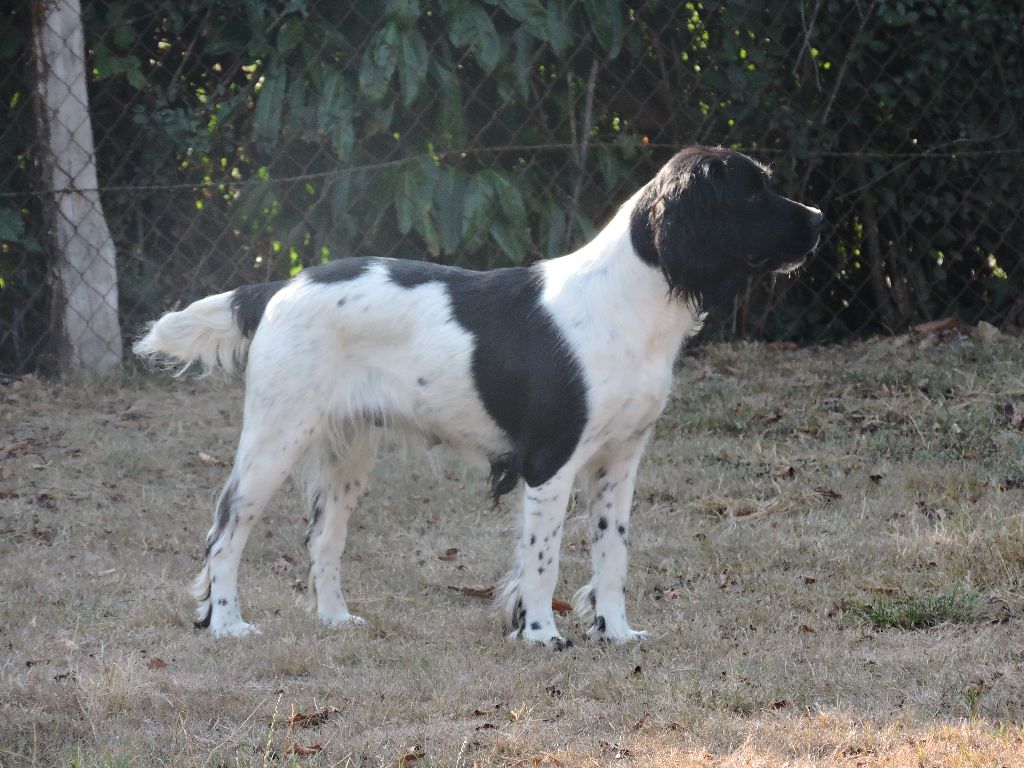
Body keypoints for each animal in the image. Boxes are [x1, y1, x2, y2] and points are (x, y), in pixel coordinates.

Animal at [136, 145, 823, 651]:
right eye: (752, 192)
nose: (819, 218)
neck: (628, 301)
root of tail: (278, 286)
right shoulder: (550, 461)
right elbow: (543, 559)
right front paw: (541, 634)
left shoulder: (621, 460)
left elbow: (612, 555)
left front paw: (616, 633)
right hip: (276, 438)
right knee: (226, 531)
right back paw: (226, 623)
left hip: (348, 451)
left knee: (323, 538)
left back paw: (334, 620)